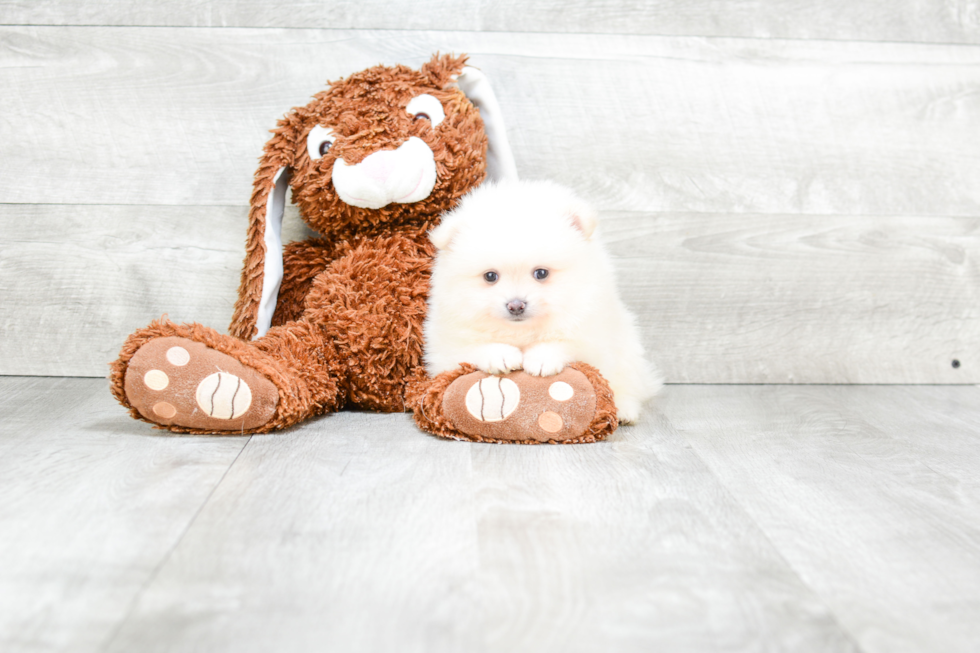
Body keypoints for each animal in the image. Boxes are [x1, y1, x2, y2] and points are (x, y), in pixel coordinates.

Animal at [422, 178, 660, 422]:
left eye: (541, 273)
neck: (521, 332)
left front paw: (541, 358)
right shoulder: (444, 346)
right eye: (490, 276)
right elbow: (471, 347)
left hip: (628, 350)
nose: (516, 305)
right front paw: (500, 355)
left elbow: (566, 342)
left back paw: (623, 409)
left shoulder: (590, 331)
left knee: (626, 384)